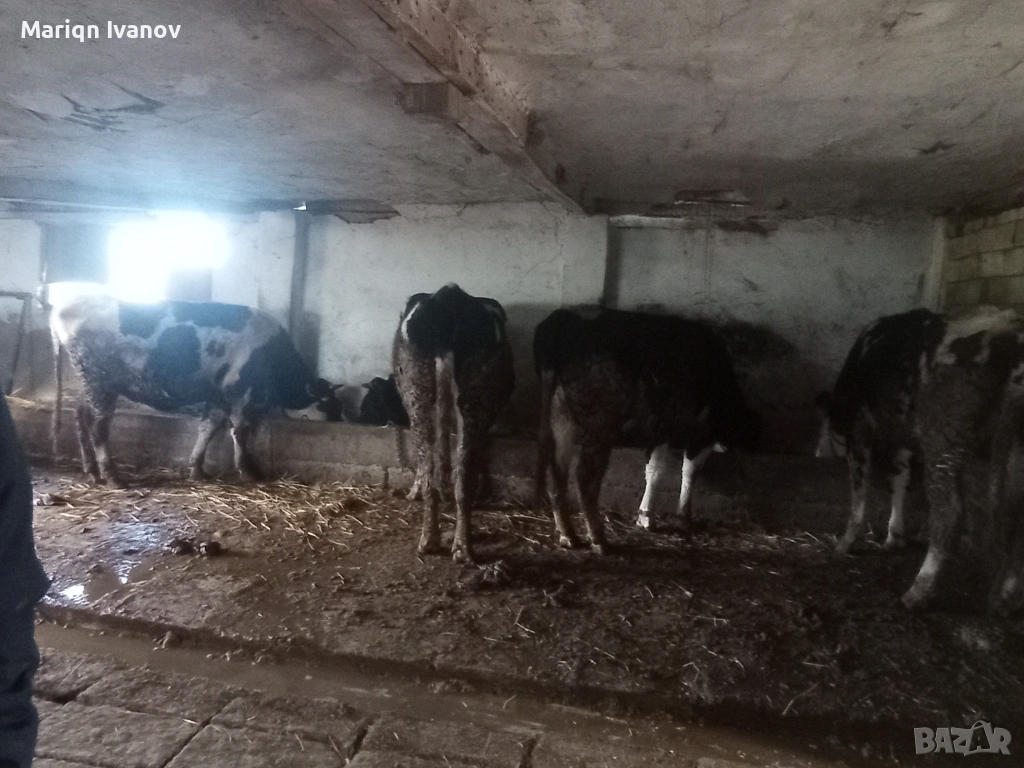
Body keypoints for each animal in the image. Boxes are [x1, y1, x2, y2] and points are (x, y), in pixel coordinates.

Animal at [50, 291, 342, 487]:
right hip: (100, 382)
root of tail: (62, 307)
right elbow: (240, 431)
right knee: (98, 428)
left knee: (80, 415)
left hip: (90, 382)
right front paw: (248, 471)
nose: (340, 422)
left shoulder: (218, 397)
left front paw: (197, 470)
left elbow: (208, 429)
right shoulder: (241, 392)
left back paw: (91, 469)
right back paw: (112, 476)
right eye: (329, 403)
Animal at [392, 284, 514, 563]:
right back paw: (459, 545)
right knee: (459, 469)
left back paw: (435, 540)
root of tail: (450, 296)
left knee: (434, 465)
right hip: (470, 393)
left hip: (419, 390)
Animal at [534, 308, 761, 552]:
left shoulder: (659, 431)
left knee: (557, 470)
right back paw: (599, 539)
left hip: (560, 416)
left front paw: (646, 516)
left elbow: (654, 470)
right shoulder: (697, 435)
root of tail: (567, 322)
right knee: (585, 477)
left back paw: (568, 535)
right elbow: (689, 470)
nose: (726, 446)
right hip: (601, 425)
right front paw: (683, 517)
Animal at [816, 308, 945, 554]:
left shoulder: (859, 428)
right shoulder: (901, 436)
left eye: (835, 431)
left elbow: (859, 489)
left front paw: (845, 543)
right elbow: (899, 481)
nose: (819, 454)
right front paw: (895, 537)